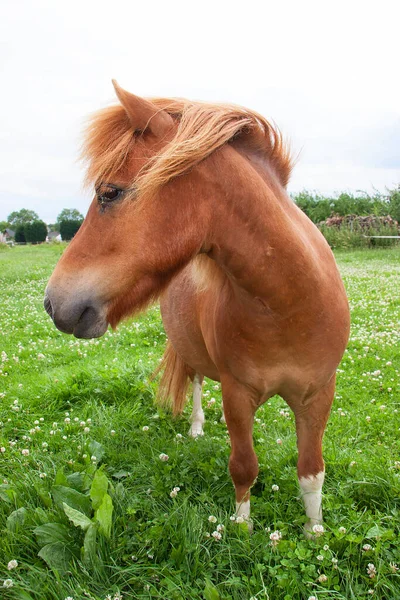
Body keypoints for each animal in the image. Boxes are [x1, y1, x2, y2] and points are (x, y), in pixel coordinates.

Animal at [44, 79, 350, 536]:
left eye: (109, 193)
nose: (52, 303)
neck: (288, 306)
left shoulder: (318, 396)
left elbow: (311, 471)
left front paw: (315, 530)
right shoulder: (237, 396)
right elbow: (244, 466)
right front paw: (241, 527)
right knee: (196, 383)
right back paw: (196, 427)